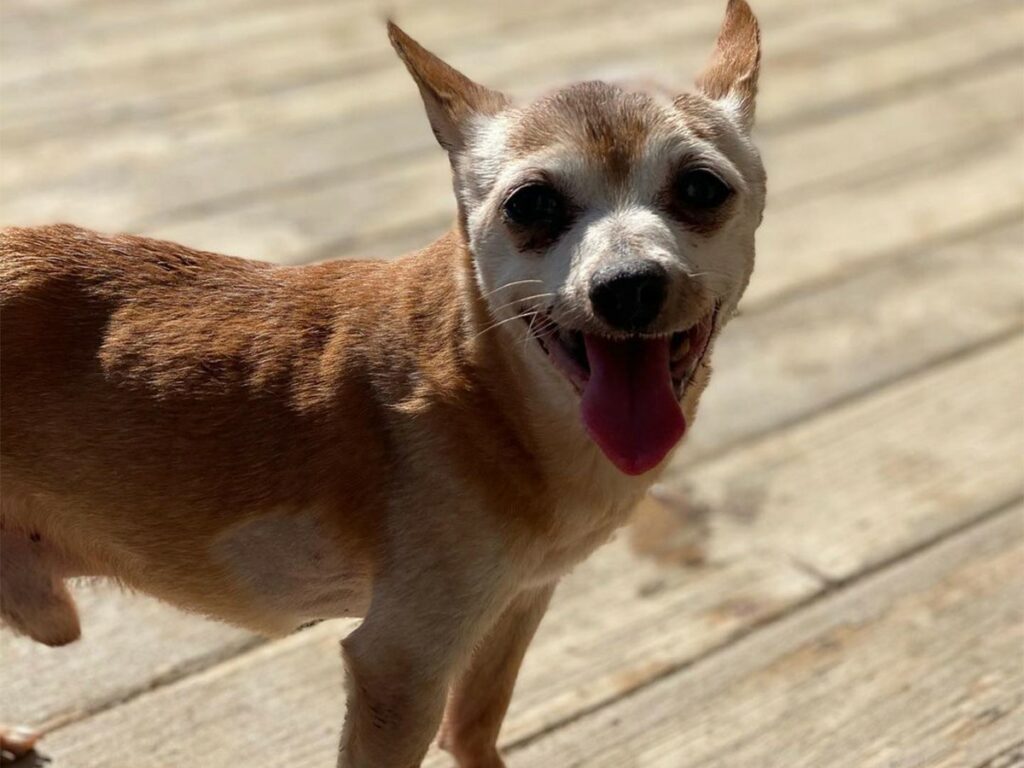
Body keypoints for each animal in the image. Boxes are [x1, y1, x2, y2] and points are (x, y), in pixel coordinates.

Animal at [0, 3, 765, 765]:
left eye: (702, 188)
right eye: (531, 206)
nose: (629, 285)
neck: (497, 397)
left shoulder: (518, 601)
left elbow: (476, 722)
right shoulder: (401, 666)